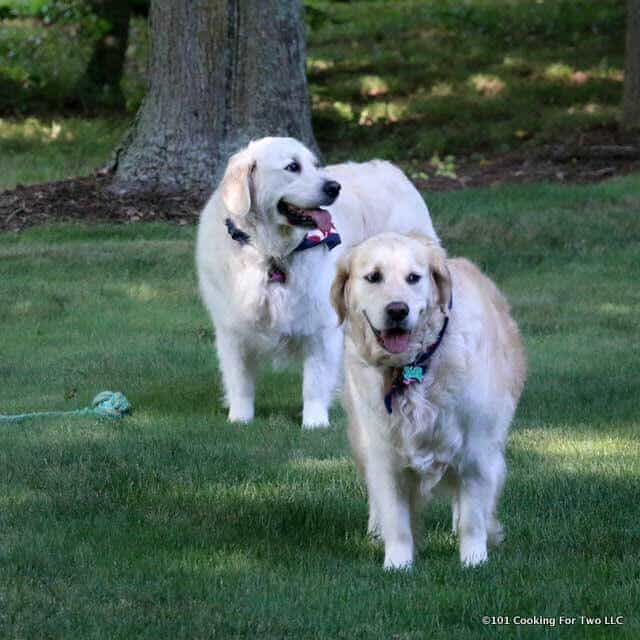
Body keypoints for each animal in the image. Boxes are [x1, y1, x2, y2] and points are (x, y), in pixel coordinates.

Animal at [198, 138, 440, 428]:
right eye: (292, 167)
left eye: (315, 165)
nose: (334, 187)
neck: (271, 252)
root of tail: (391, 168)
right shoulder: (232, 328)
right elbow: (239, 380)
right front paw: (239, 419)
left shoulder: (321, 326)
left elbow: (314, 382)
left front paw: (314, 422)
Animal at [330, 232, 524, 568]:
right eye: (373, 277)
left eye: (413, 278)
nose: (397, 310)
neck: (413, 367)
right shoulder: (385, 453)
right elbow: (396, 519)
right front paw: (397, 565)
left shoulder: (477, 451)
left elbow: (472, 517)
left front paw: (474, 560)